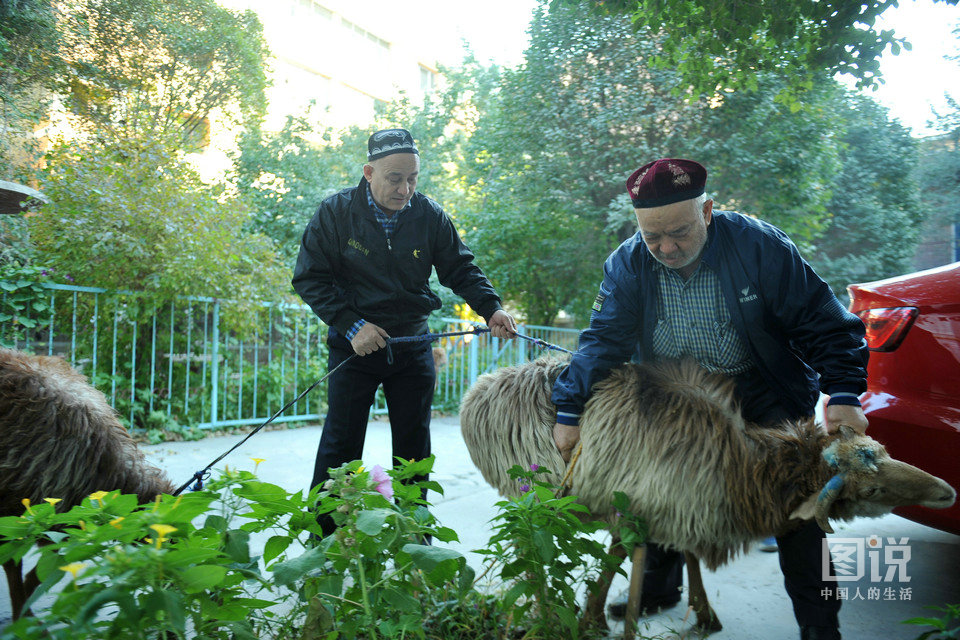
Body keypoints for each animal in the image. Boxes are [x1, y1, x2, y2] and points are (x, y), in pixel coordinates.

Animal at [0, 348, 174, 616]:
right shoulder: (14, 505)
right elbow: (13, 562)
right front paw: (23, 613)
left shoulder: (61, 516)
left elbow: (49, 567)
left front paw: (27, 601)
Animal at [462, 358, 956, 632]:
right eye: (871, 487)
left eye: (883, 451)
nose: (946, 493)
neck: (741, 466)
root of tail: (484, 382)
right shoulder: (638, 506)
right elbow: (623, 559)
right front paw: (595, 621)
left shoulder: (677, 504)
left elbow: (685, 554)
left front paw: (702, 615)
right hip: (531, 497)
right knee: (530, 548)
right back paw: (542, 611)